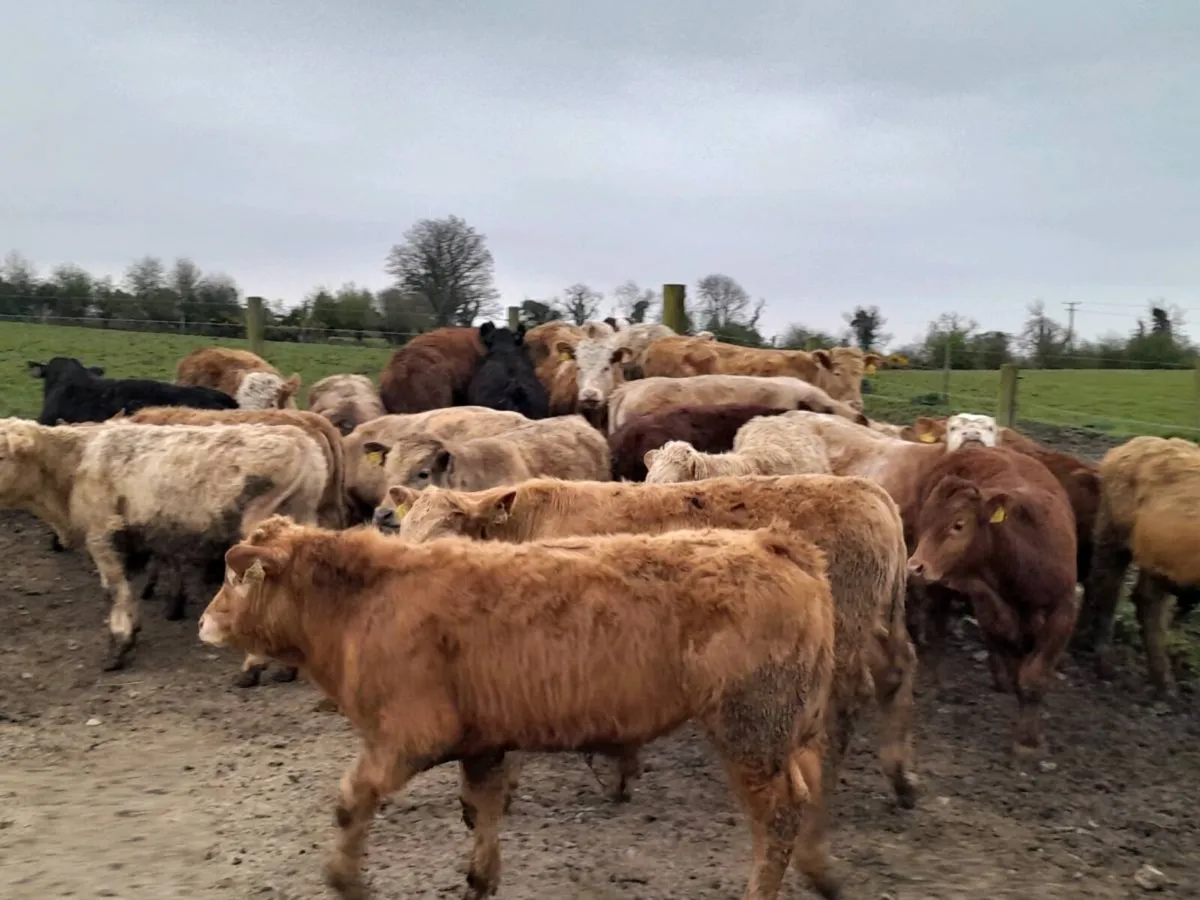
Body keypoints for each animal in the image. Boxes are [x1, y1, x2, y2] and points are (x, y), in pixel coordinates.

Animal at [0, 418, 326, 671]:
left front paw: (119, 644)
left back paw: (255, 665)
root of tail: (300, 440)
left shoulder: (102, 535)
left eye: (2, 455)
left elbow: (115, 591)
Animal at [199, 515, 839, 900]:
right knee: (811, 792)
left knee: (780, 815)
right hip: (791, 729)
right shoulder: (481, 743)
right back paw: (822, 874)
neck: (364, 601)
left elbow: (350, 800)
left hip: (750, 731)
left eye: (234, 577)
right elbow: (482, 809)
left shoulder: (408, 737)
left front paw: (345, 878)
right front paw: (479, 878)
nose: (205, 620)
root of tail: (776, 543)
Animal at [380, 473, 919, 813]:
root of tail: (874, 493)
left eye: (445, 538)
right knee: (896, 675)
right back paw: (901, 780)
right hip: (883, 622)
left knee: (847, 703)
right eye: (405, 530)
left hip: (845, 632)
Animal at [906, 445, 1077, 757]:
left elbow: (1034, 675)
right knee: (938, 627)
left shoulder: (1063, 610)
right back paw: (940, 683)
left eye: (959, 524)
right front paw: (1025, 736)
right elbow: (1018, 669)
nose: (916, 567)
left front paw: (1029, 740)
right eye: (925, 522)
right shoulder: (994, 610)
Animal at [1080, 436, 1200, 699]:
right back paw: (1103, 661)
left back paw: (1165, 685)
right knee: (1106, 589)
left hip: (1155, 560)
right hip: (1112, 536)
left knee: (1145, 601)